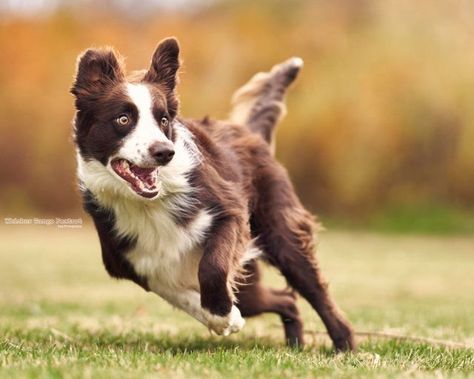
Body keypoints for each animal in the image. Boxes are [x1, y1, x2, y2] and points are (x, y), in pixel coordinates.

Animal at [70, 37, 356, 352]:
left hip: (281, 234)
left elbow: (213, 267)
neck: (149, 203)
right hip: (249, 282)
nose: (164, 152)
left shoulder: (230, 212)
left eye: (164, 120)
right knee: (285, 299)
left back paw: (344, 346)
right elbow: (177, 292)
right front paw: (223, 317)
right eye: (123, 119)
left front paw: (221, 313)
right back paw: (295, 343)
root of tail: (249, 132)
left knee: (313, 289)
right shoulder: (130, 261)